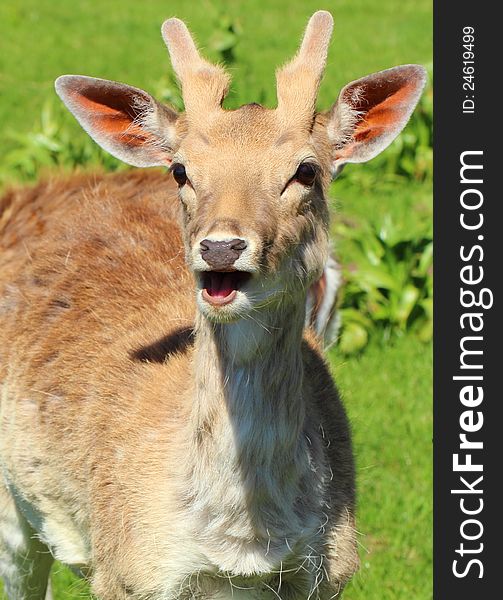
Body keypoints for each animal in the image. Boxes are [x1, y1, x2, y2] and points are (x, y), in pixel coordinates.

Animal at [0, 9, 428, 600]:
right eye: (180, 170)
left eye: (306, 170)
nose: (221, 246)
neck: (241, 548)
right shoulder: (127, 569)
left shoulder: (330, 570)